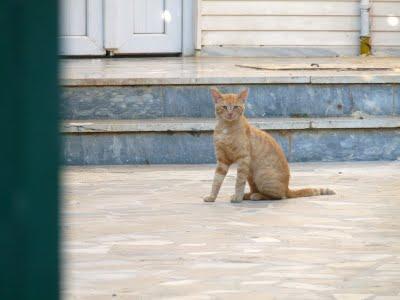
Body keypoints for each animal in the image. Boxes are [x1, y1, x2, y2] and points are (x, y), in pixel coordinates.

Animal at [203, 86, 334, 204]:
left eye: (236, 107)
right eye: (224, 107)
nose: (230, 114)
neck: (225, 128)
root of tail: (287, 188)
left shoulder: (243, 159)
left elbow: (239, 181)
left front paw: (237, 198)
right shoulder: (222, 160)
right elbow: (216, 180)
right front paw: (212, 197)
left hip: (261, 175)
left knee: (279, 196)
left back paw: (256, 196)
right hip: (251, 175)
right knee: (259, 190)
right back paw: (248, 195)